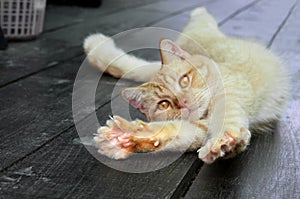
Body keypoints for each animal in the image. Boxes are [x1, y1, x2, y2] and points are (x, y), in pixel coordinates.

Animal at [84, 7, 288, 163]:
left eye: (184, 80)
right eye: (164, 104)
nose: (183, 103)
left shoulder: (230, 96)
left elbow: (227, 116)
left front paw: (225, 139)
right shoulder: (199, 129)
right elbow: (175, 131)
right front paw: (126, 137)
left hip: (199, 32)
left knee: (202, 18)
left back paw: (199, 10)